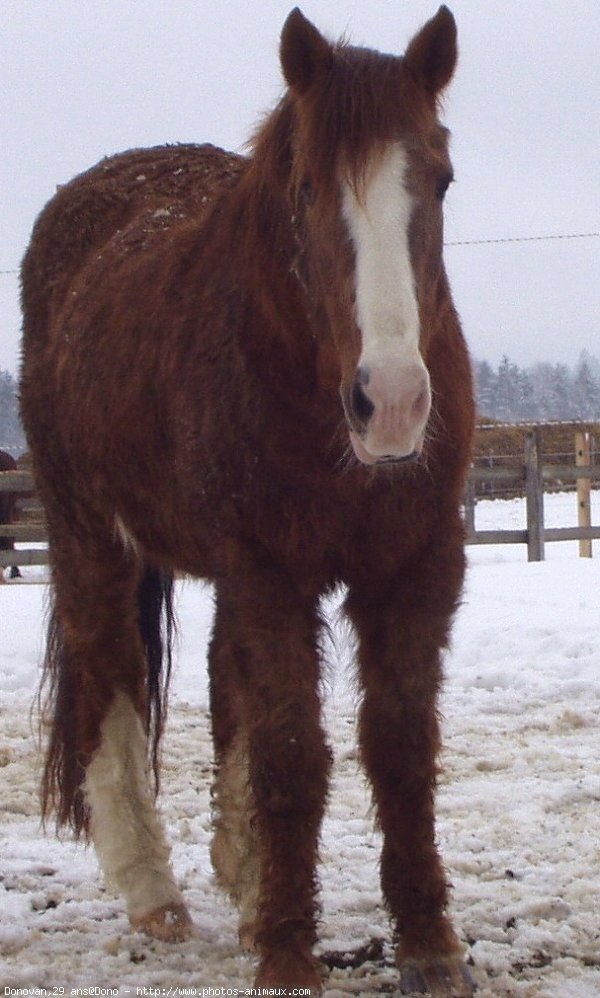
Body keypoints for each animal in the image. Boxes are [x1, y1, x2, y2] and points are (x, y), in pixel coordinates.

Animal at [21, 9, 476, 998]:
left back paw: (247, 874)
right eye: (306, 188)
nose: (389, 402)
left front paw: (428, 943)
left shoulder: (417, 567)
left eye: (441, 179)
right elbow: (294, 753)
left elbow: (399, 748)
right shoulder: (270, 572)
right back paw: (155, 894)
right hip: (89, 540)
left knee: (223, 681)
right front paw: (290, 954)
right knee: (111, 681)